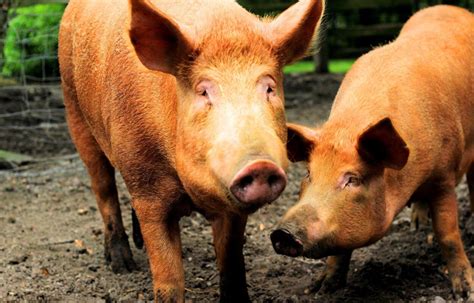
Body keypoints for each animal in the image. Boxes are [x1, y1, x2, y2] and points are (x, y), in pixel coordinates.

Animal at [58, 0, 326, 302]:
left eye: (269, 87)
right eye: (203, 91)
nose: (259, 166)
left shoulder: (230, 205)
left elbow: (231, 262)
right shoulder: (148, 190)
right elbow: (168, 280)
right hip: (74, 110)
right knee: (103, 187)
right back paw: (121, 265)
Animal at [270, 4, 474, 300]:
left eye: (352, 179)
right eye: (308, 173)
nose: (283, 233)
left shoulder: (444, 177)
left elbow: (448, 234)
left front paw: (464, 292)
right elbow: (340, 249)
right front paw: (319, 288)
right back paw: (417, 225)